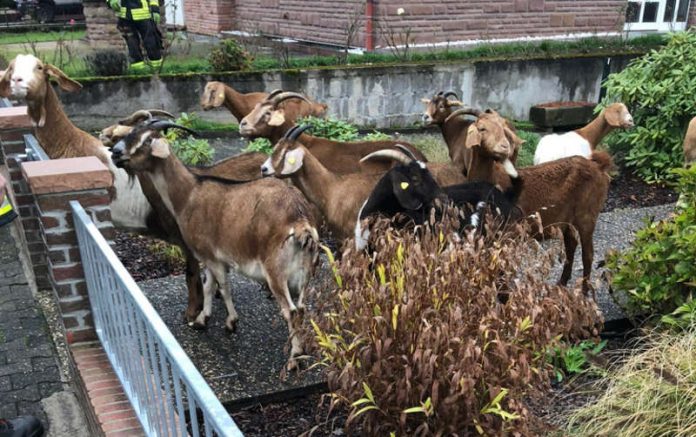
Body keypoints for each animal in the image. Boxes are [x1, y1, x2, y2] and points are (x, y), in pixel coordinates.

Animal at [464, 110, 612, 292]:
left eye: (503, 128)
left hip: (588, 215)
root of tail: (598, 166)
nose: (504, 147)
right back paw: (561, 283)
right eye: (482, 128)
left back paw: (584, 291)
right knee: (571, 244)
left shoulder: (507, 233)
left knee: (588, 253)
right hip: (566, 218)